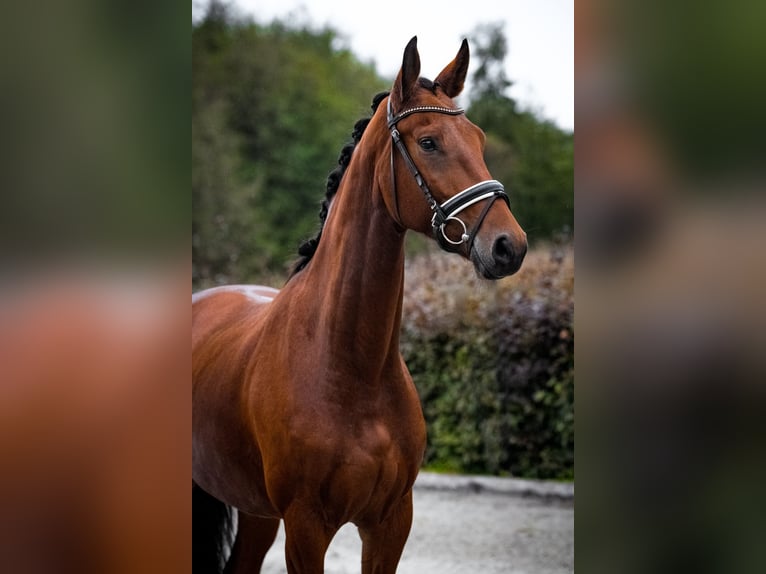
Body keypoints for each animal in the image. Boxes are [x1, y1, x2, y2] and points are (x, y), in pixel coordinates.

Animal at [192, 37, 528, 574]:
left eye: (478, 139)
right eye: (429, 142)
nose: (508, 246)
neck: (353, 369)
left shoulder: (390, 523)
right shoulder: (306, 528)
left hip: (256, 513)